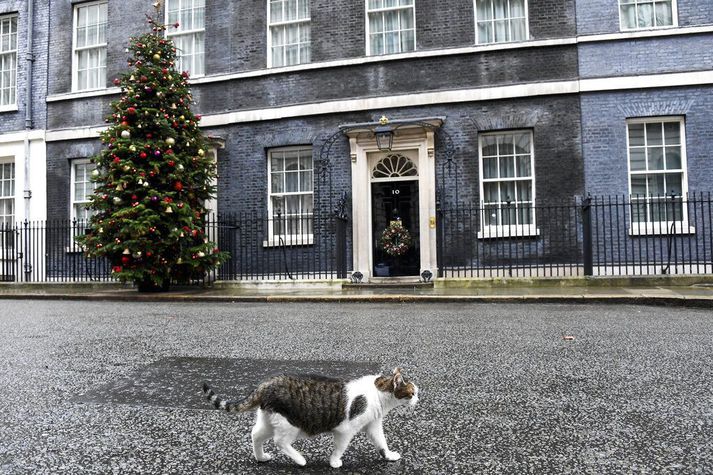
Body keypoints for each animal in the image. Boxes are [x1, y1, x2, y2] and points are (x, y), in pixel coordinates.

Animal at [200, 368, 418, 468]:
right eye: (412, 392)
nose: (419, 398)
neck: (378, 391)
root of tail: (266, 384)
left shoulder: (373, 425)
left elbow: (382, 443)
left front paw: (388, 456)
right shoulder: (345, 430)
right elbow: (340, 448)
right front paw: (334, 462)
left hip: (270, 420)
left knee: (256, 435)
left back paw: (260, 457)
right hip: (291, 425)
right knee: (280, 442)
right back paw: (300, 460)